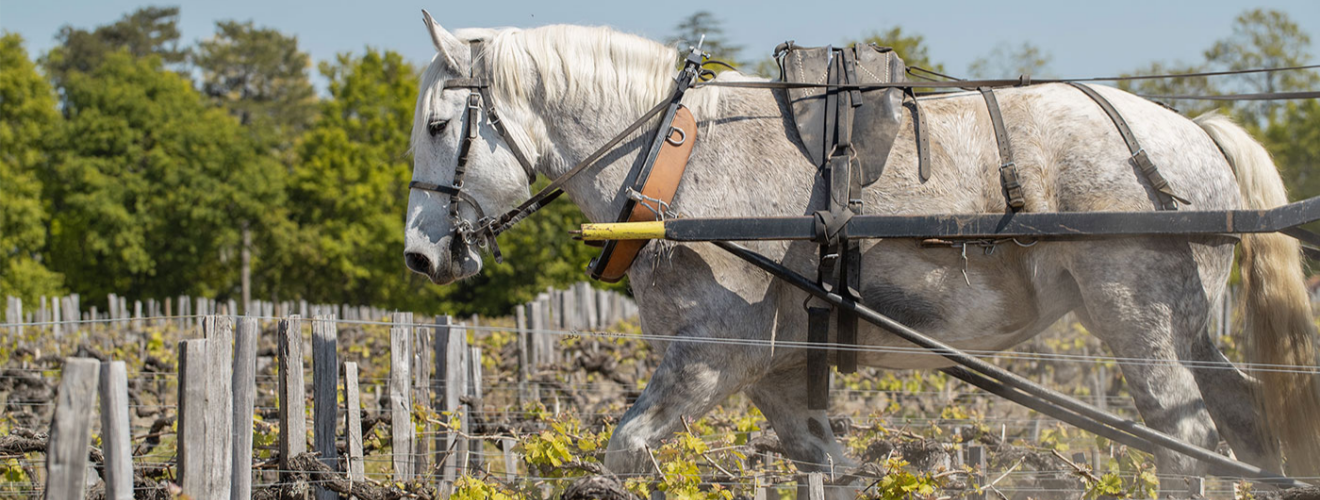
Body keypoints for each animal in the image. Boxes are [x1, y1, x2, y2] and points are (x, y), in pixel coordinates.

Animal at [401, 16, 1320, 493]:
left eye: (441, 125)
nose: (419, 257)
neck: (674, 157)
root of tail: (1195, 130)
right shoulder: (775, 374)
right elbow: (833, 465)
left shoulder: (713, 355)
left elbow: (625, 450)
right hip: (1188, 329)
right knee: (1244, 421)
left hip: (1139, 320)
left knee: (1184, 438)